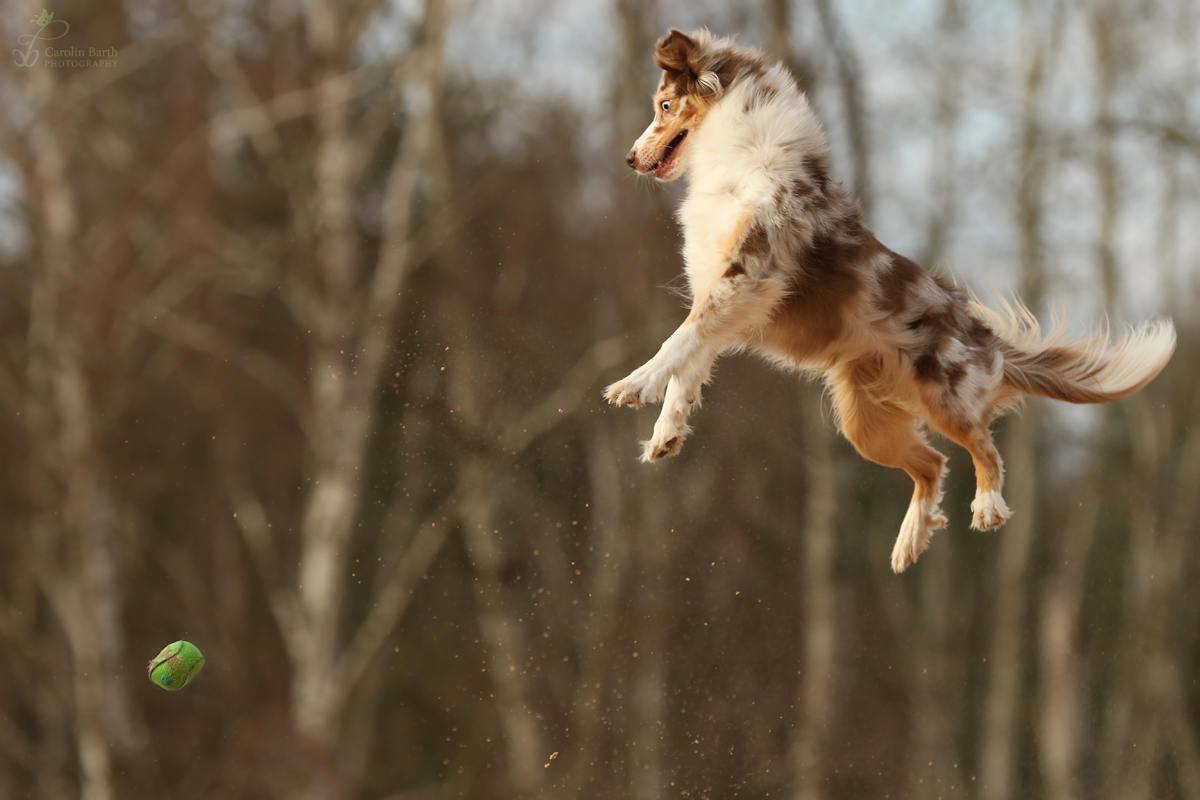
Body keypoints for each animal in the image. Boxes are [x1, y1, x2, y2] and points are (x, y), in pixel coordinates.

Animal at [604, 28, 1176, 573]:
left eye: (664, 106)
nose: (628, 159)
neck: (737, 156)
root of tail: (987, 339)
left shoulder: (746, 278)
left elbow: (676, 343)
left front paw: (634, 385)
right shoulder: (722, 294)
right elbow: (688, 367)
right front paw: (666, 431)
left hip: (945, 398)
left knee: (983, 448)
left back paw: (987, 506)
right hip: (864, 424)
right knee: (932, 465)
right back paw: (908, 543)